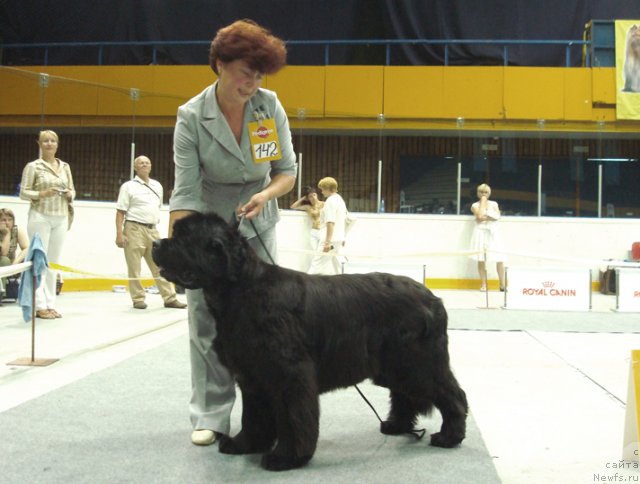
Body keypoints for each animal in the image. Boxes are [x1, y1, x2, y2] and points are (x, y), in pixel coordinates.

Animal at [152, 212, 468, 468]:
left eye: (183, 238)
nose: (156, 243)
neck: (241, 291)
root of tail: (432, 298)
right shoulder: (253, 375)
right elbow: (253, 415)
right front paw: (244, 444)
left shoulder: (289, 373)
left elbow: (293, 417)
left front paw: (286, 457)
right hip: (395, 365)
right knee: (405, 393)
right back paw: (396, 425)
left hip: (418, 362)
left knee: (451, 394)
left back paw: (449, 436)